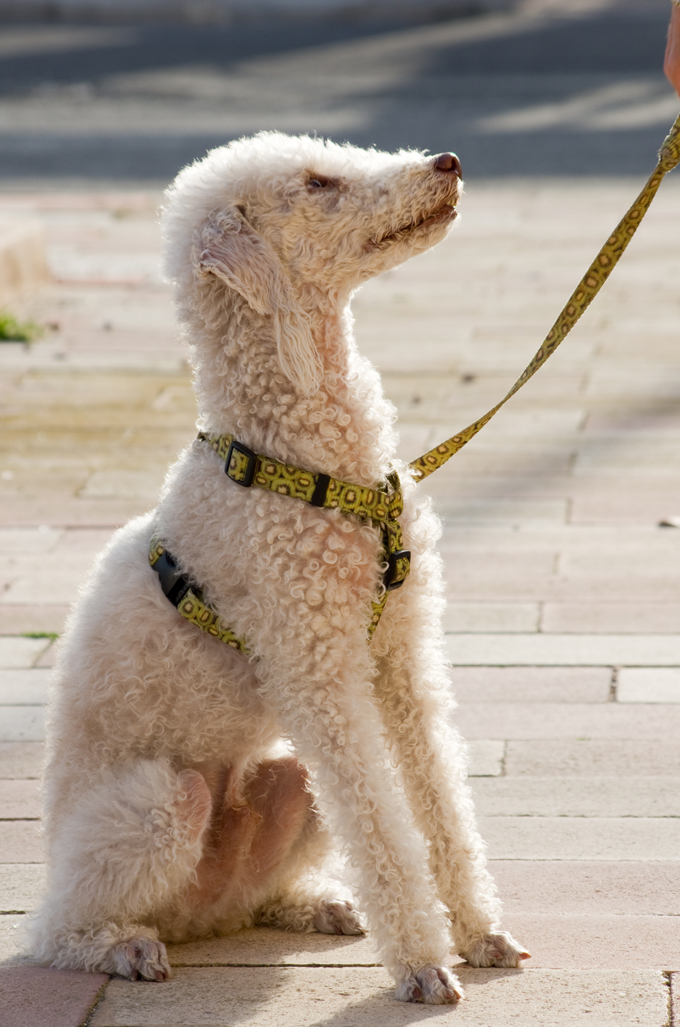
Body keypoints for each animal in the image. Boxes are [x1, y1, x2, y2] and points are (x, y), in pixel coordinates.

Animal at [31, 128, 530, 1002]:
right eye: (318, 182)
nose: (447, 163)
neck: (305, 451)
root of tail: (200, 914)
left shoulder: (401, 656)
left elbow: (440, 799)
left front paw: (480, 932)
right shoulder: (318, 672)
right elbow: (379, 822)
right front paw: (422, 961)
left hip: (290, 779)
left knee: (253, 890)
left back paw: (314, 903)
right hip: (155, 804)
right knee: (59, 928)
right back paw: (121, 947)